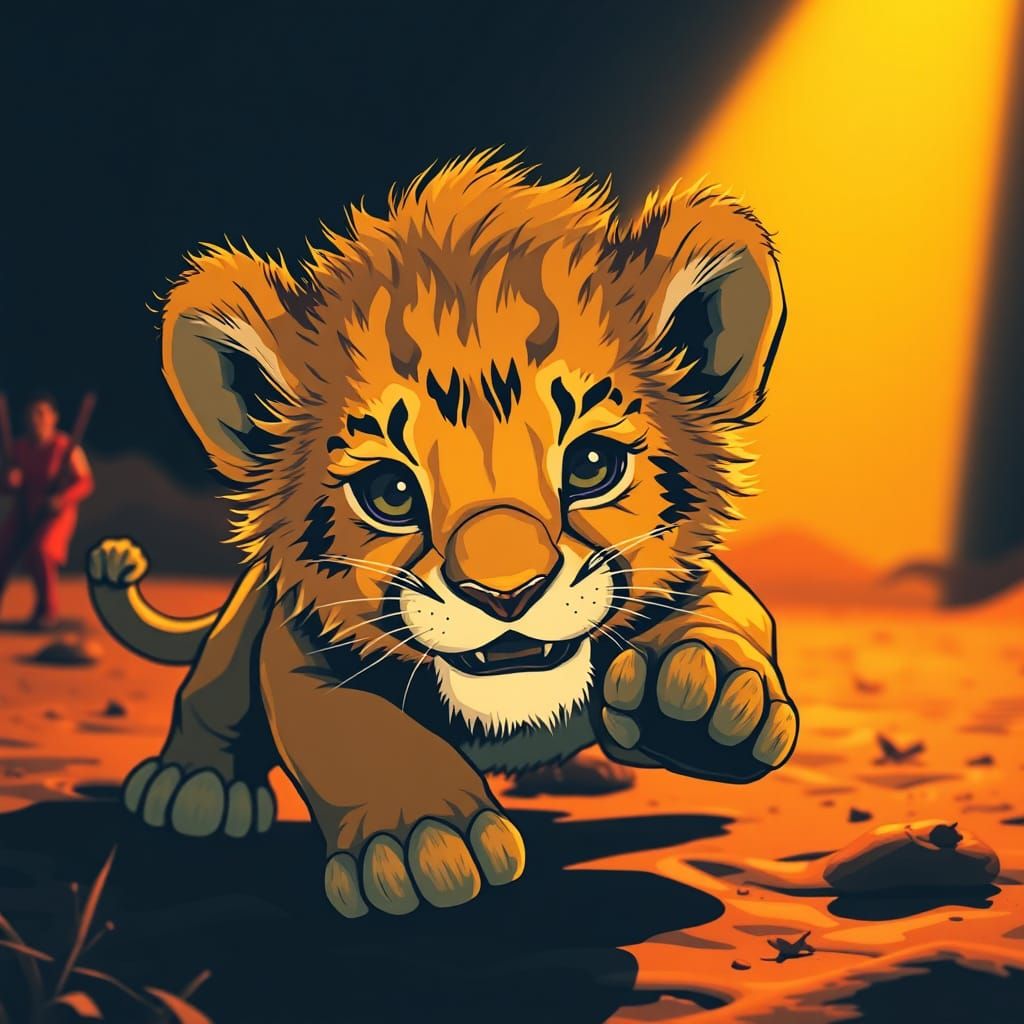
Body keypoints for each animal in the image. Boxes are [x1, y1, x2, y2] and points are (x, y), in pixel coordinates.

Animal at [86, 153, 797, 918]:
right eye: (391, 494)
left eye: (591, 465)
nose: (506, 593)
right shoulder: (295, 650)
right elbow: (358, 730)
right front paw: (421, 844)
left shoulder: (700, 577)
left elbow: (732, 613)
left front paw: (700, 694)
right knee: (211, 687)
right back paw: (193, 786)